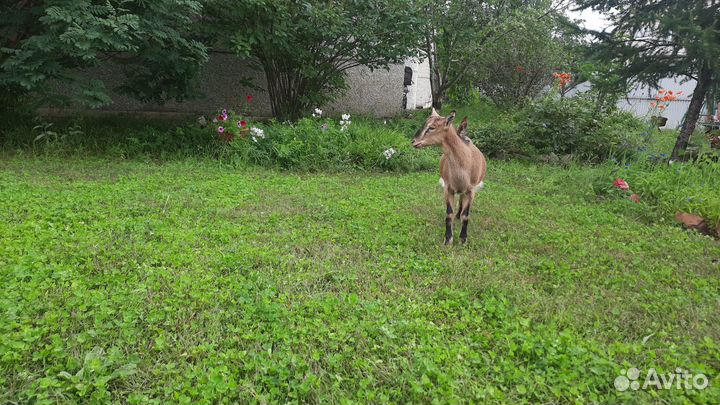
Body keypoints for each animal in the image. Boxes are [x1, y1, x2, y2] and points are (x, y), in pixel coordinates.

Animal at [412, 109, 487, 245]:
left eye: (432, 127)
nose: (414, 141)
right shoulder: (448, 188)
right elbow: (448, 214)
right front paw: (448, 239)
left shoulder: (471, 190)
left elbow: (466, 216)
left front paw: (463, 239)